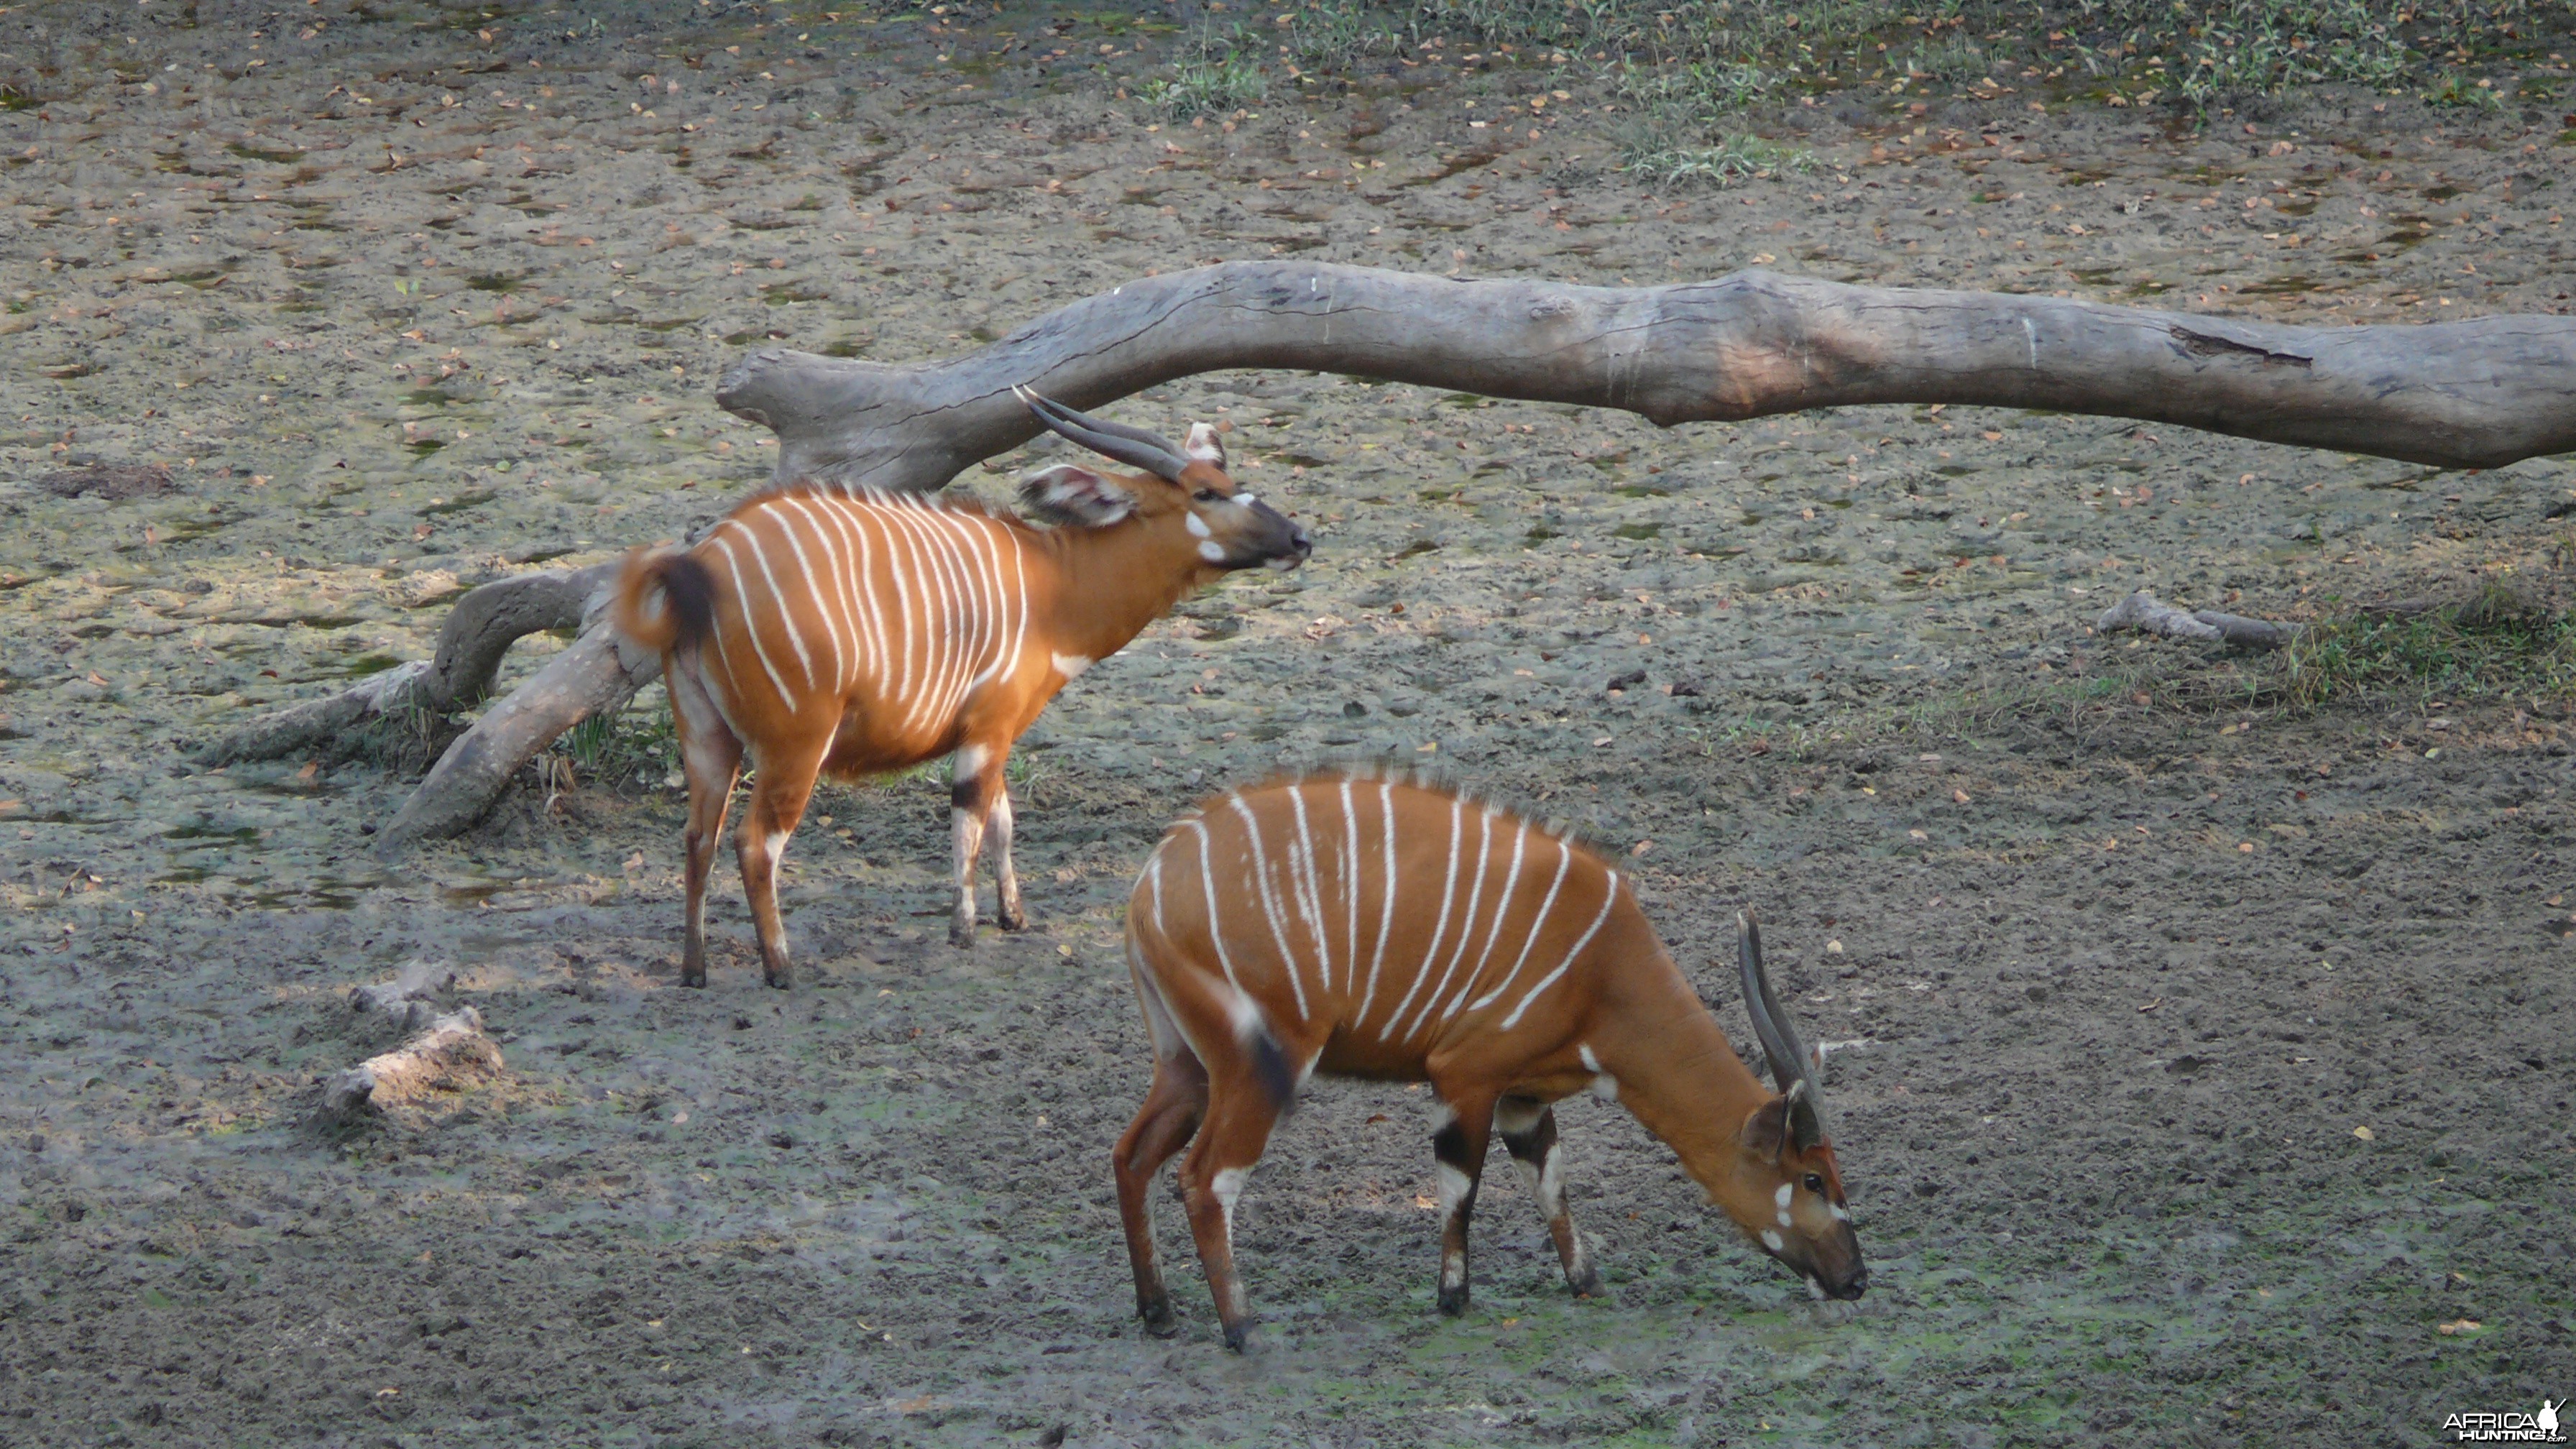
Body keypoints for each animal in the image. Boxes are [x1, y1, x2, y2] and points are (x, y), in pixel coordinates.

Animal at [612, 389, 1308, 980]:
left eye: (1231, 484)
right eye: (1205, 493)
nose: (1299, 538)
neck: (1050, 584)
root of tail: (700, 567)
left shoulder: (997, 735)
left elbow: (1002, 817)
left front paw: (1015, 916)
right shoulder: (988, 729)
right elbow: (970, 820)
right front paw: (965, 931)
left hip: (708, 738)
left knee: (697, 839)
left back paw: (694, 970)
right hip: (795, 745)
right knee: (755, 844)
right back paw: (781, 969)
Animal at [1118, 773, 1864, 1351]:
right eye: (1813, 1179)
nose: (1856, 1280)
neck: (1604, 969)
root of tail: (1150, 886)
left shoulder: (1522, 1096)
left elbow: (1550, 1181)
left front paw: (1586, 1281)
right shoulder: (1464, 1074)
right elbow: (1462, 1188)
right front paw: (1454, 1298)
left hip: (1186, 1066)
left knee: (1132, 1155)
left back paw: (1158, 1313)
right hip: (1260, 1066)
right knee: (1204, 1177)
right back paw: (1241, 1328)